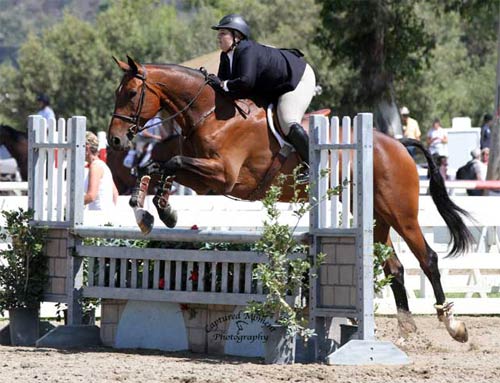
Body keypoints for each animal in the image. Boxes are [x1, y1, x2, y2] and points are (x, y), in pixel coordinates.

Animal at [108, 56, 472, 344]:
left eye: (131, 94)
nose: (114, 140)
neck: (210, 114)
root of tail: (397, 144)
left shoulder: (222, 175)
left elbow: (170, 162)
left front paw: (158, 211)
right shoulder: (204, 181)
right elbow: (159, 166)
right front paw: (152, 211)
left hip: (401, 213)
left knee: (428, 259)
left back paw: (452, 324)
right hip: (375, 216)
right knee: (394, 267)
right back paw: (407, 329)